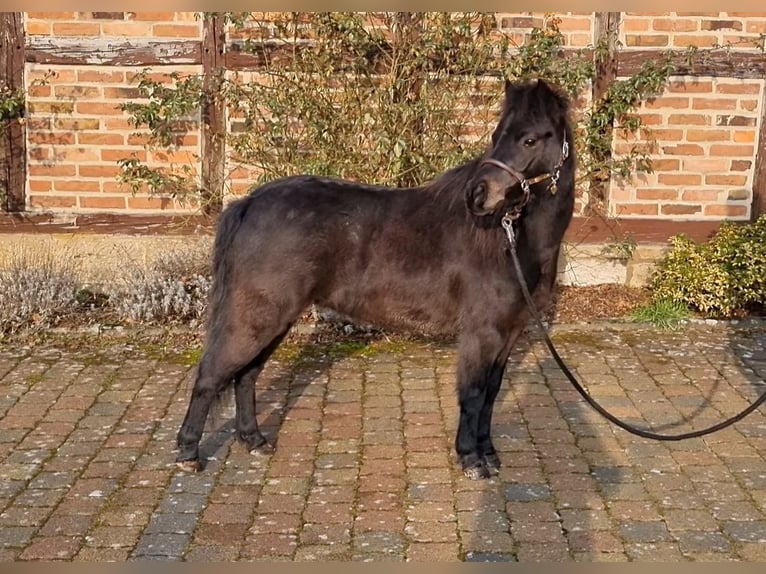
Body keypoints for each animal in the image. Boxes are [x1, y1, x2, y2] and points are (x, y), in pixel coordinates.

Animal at [177, 77, 572, 482]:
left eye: (529, 139)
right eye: (496, 136)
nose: (477, 195)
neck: (509, 239)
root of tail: (250, 202)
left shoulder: (509, 333)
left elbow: (491, 393)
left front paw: (489, 453)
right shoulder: (483, 334)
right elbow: (474, 394)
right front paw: (471, 459)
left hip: (275, 319)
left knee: (246, 375)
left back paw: (254, 440)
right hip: (258, 317)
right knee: (213, 374)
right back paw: (189, 453)